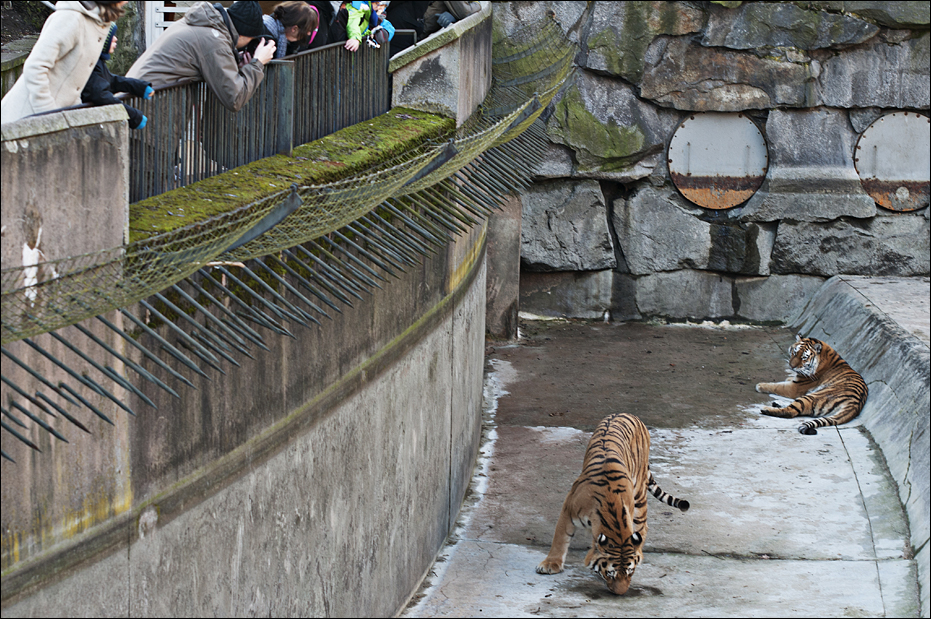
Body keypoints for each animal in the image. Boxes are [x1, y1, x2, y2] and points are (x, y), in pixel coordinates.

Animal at [535, 413, 689, 595]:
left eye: (630, 572)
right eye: (610, 573)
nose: (621, 593)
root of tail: (629, 414)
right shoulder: (568, 509)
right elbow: (560, 538)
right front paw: (550, 564)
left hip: (640, 494)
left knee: (643, 526)